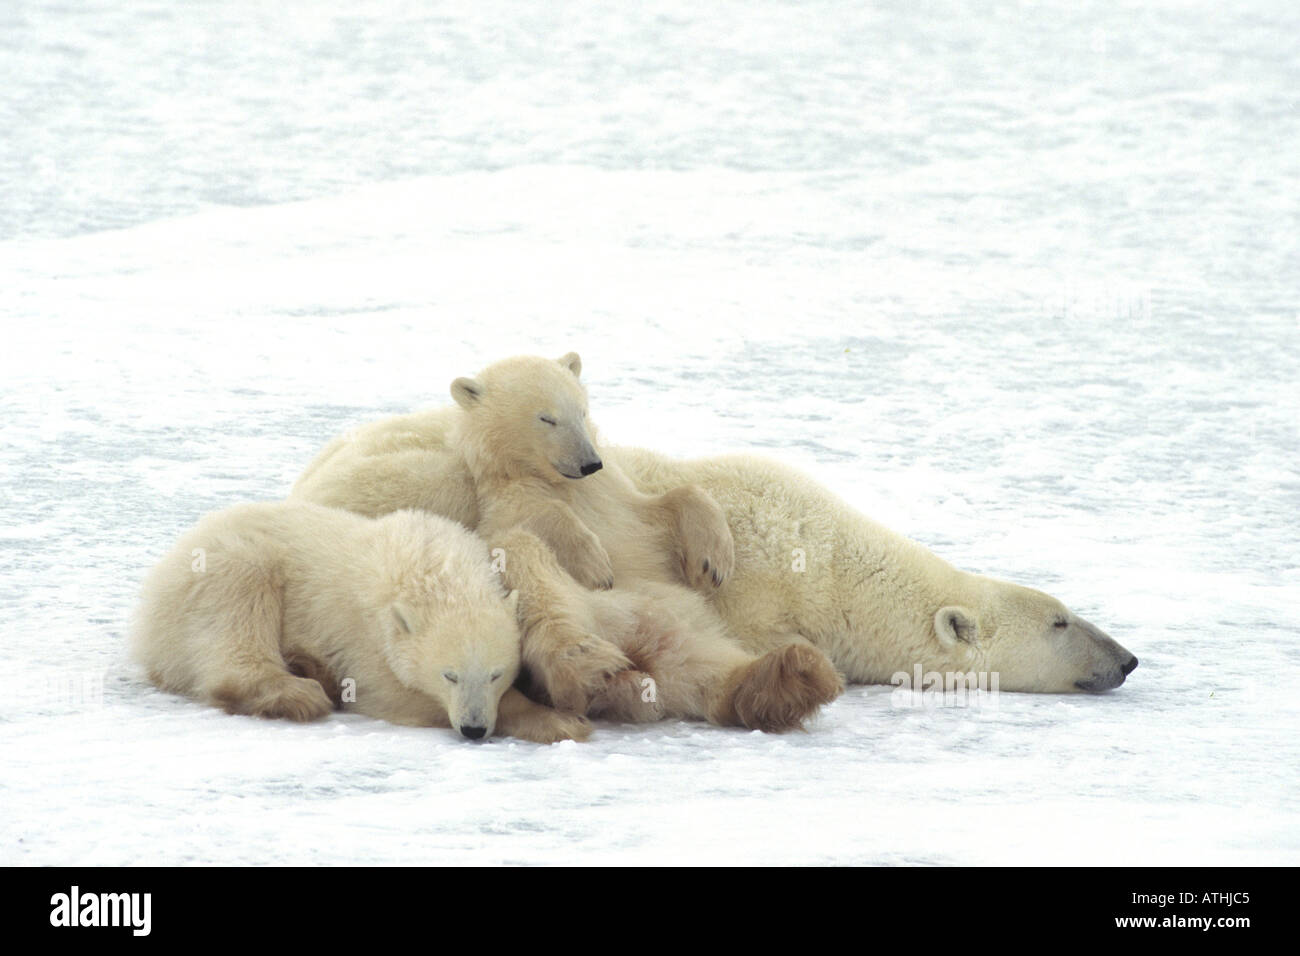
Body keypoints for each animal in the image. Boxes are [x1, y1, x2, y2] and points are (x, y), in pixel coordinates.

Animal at [130, 500, 592, 743]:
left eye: (497, 673)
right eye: (450, 675)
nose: (474, 729)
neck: (432, 567)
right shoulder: (364, 633)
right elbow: (390, 692)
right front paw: (560, 721)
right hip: (221, 567)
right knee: (238, 602)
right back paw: (295, 692)